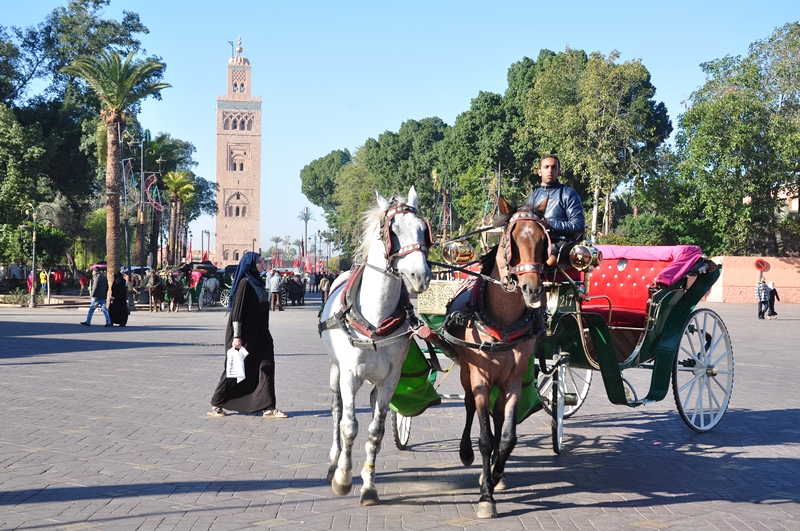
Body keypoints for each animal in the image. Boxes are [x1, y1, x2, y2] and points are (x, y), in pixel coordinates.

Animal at [318, 187, 432, 508]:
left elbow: (375, 432)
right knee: (336, 410)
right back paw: (333, 461)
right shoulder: (350, 375)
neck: (376, 318)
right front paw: (343, 478)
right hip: (335, 370)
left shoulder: (391, 380)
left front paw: (368, 486)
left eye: (423, 229)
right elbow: (349, 426)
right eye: (393, 230)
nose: (421, 276)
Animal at [444, 196, 552, 520]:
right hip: (468, 374)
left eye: (544, 240)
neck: (503, 321)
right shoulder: (480, 378)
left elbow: (507, 437)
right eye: (512, 240)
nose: (533, 289)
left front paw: (494, 474)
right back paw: (466, 453)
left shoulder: (514, 380)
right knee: (470, 406)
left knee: (498, 416)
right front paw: (485, 497)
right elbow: (484, 438)